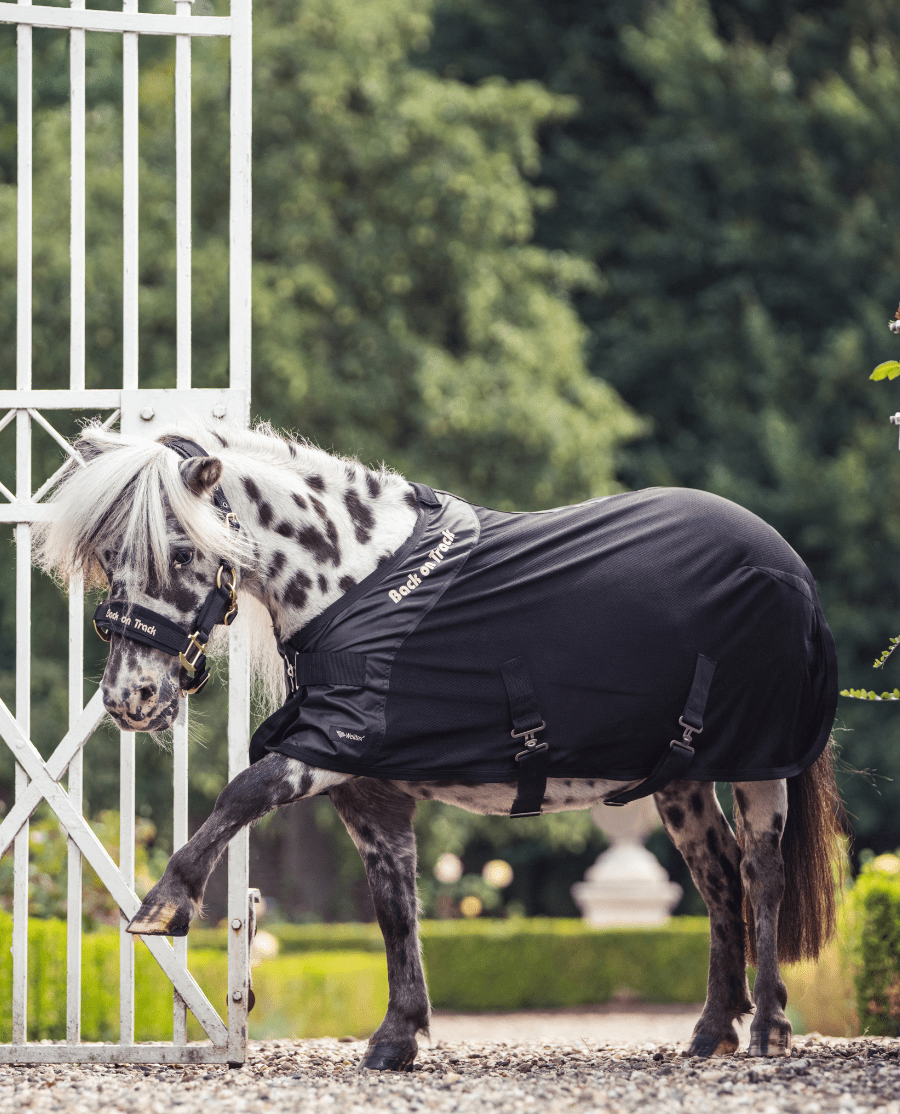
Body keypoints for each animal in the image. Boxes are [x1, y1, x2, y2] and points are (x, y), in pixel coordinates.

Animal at [34, 420, 845, 1070]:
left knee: (761, 873)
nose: (129, 700)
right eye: (107, 554)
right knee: (719, 878)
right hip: (681, 780)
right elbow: (395, 907)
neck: (353, 579)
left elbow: (242, 792)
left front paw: (164, 905)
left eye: (179, 551)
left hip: (757, 767)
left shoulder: (326, 749)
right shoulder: (367, 786)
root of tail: (786, 559)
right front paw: (398, 1035)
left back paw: (770, 1028)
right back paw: (713, 1030)